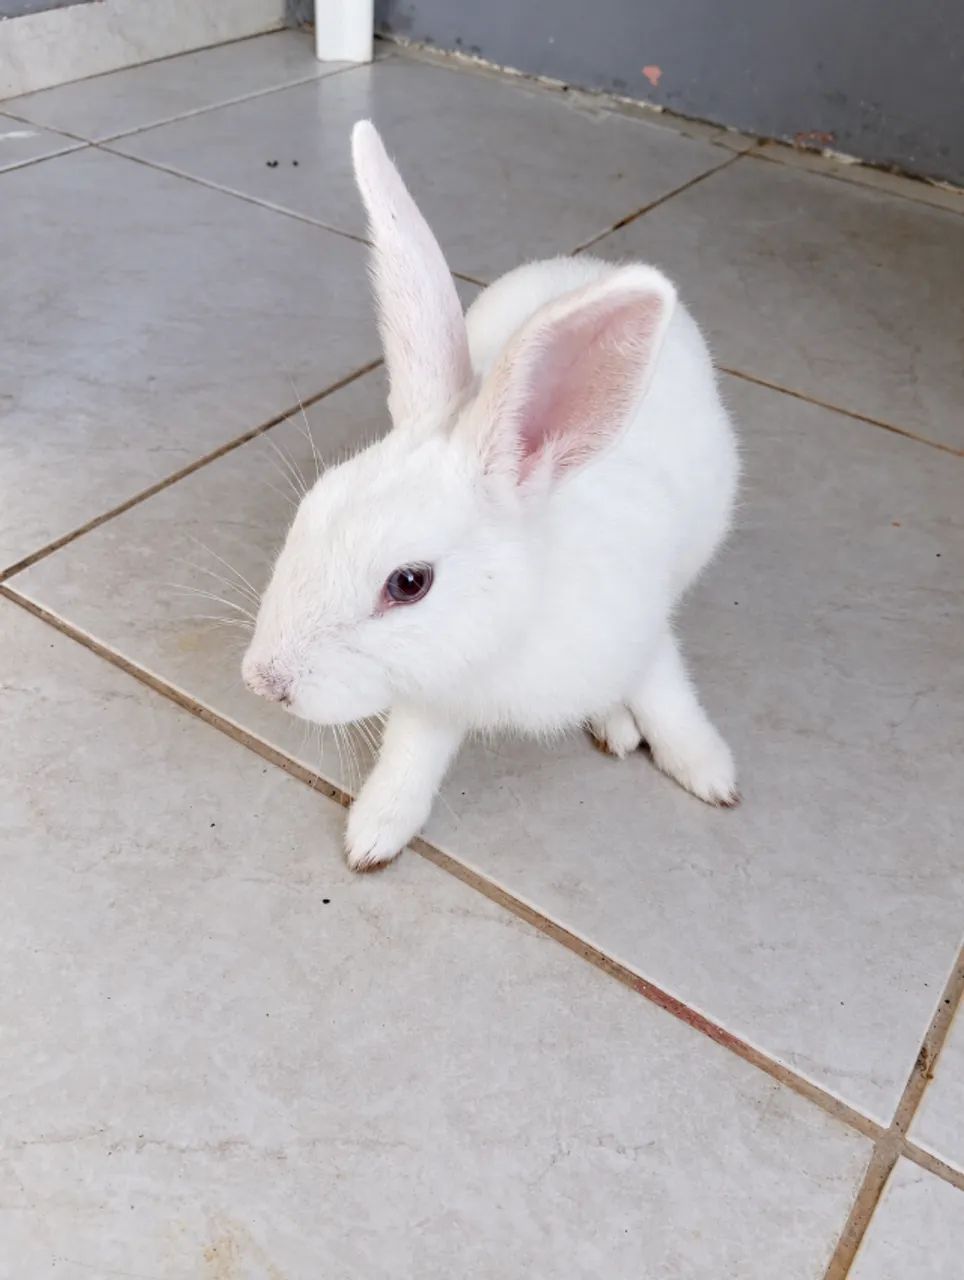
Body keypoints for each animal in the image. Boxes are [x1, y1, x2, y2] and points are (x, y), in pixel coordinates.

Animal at [242, 120, 740, 872]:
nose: (264, 683)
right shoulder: (433, 693)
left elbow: (668, 697)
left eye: (409, 583)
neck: (511, 627)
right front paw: (375, 834)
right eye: (310, 510)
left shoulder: (642, 633)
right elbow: (411, 757)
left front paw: (709, 772)